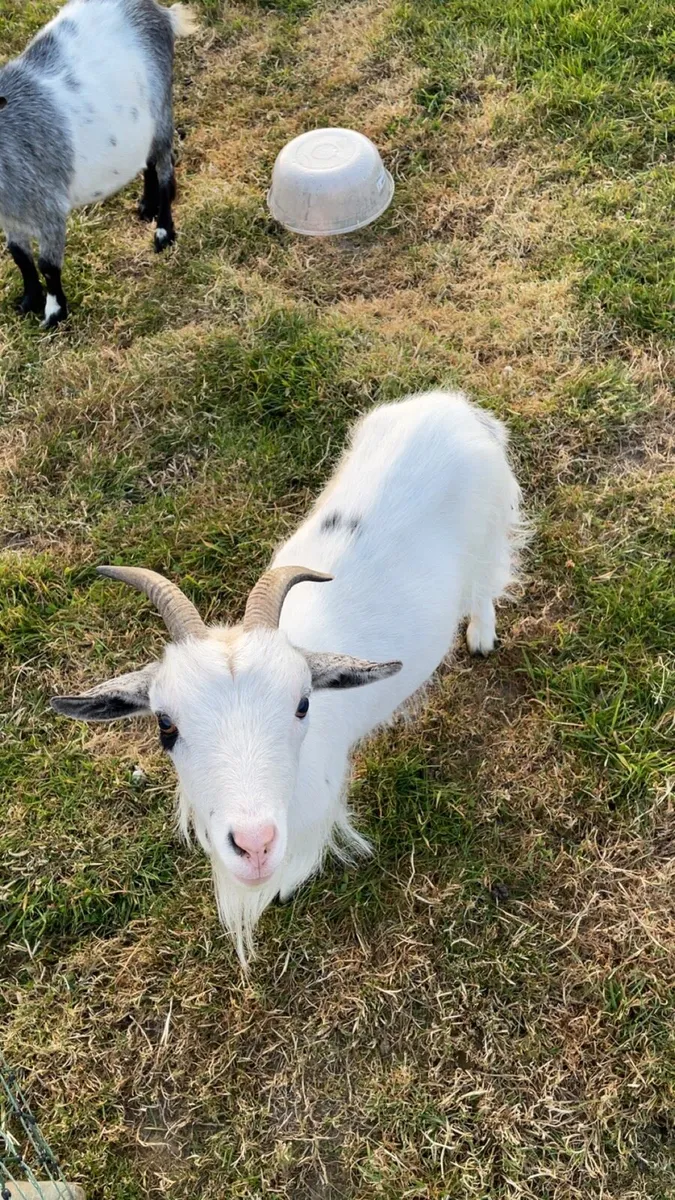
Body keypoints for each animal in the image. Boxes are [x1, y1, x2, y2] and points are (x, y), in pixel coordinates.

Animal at [0, 0, 197, 329]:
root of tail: (161, 14)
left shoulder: (49, 208)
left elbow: (47, 265)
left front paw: (54, 315)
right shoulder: (11, 217)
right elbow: (20, 257)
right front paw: (28, 301)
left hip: (161, 108)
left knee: (164, 168)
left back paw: (163, 232)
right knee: (148, 159)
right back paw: (147, 206)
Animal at [52, 390, 524, 960]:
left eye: (302, 704)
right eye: (165, 725)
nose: (254, 846)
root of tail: (454, 406)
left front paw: (284, 886)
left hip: (491, 526)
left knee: (487, 581)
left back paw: (481, 635)